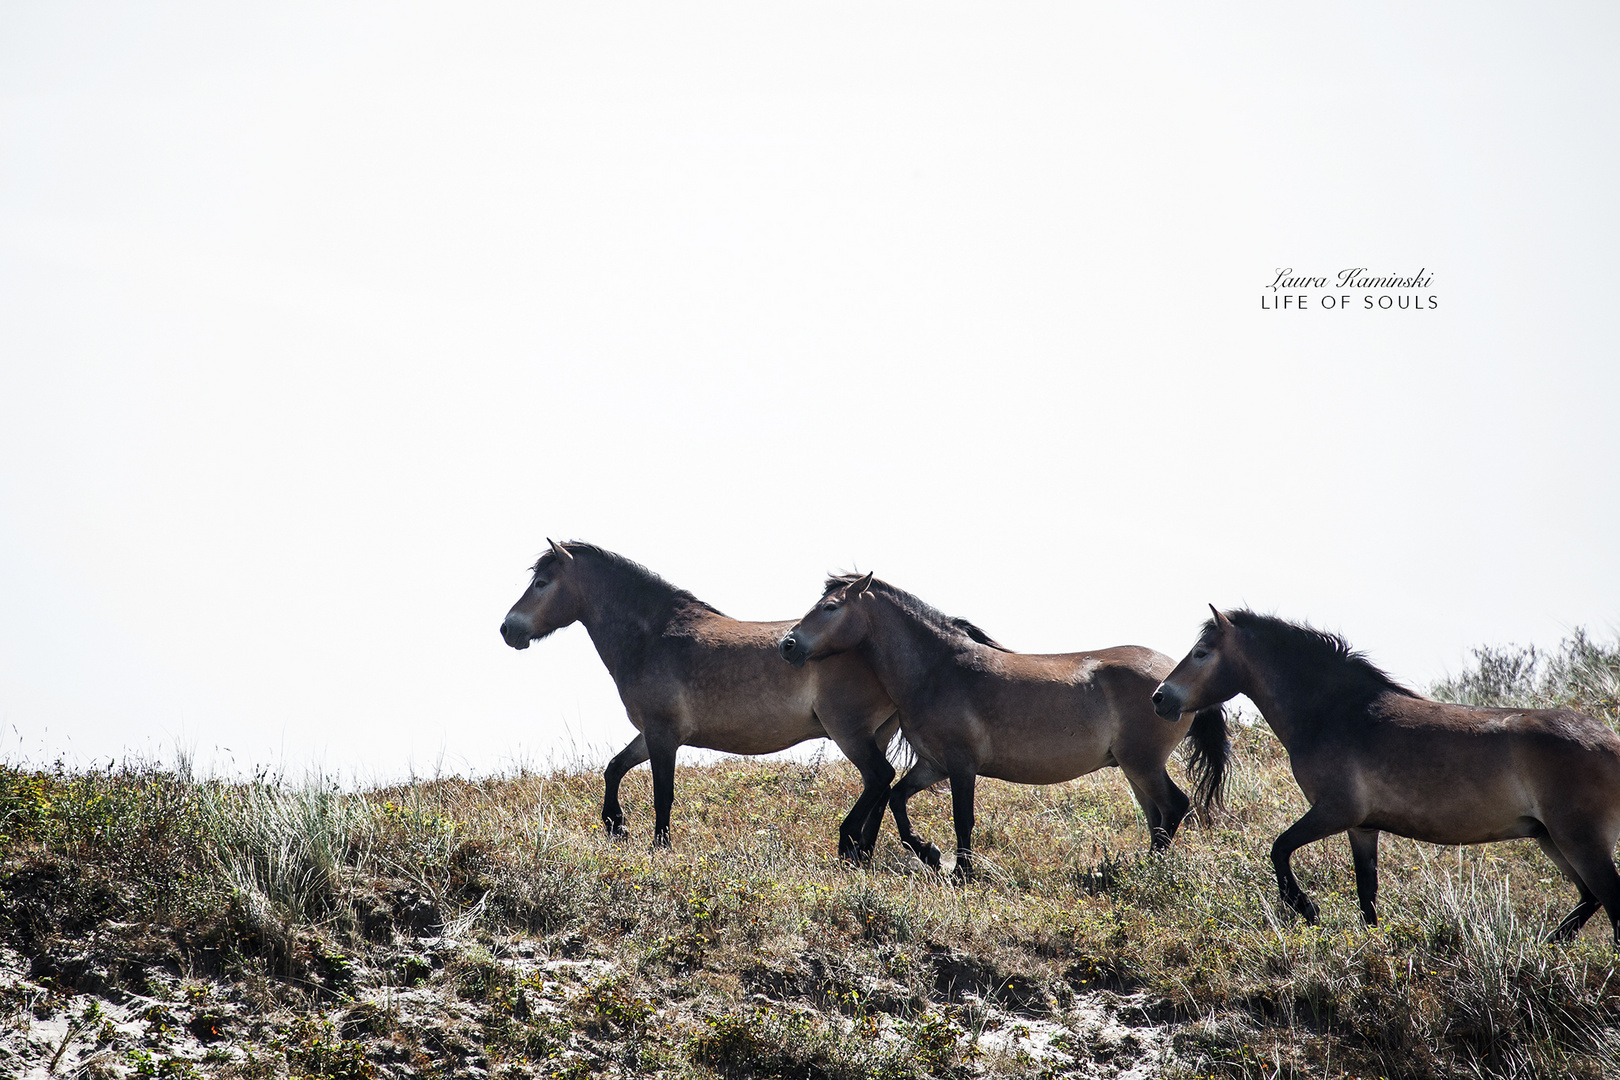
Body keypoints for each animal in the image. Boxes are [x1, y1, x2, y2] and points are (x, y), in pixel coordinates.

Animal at [495, 544, 900, 854]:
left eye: (542, 583)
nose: (507, 628)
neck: (653, 637)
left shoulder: (663, 735)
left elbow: (663, 794)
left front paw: (659, 846)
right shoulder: (651, 733)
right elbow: (614, 768)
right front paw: (616, 824)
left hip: (850, 733)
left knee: (880, 777)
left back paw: (851, 844)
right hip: (878, 734)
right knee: (881, 787)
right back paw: (865, 848)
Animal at [774, 573, 1224, 880]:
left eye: (831, 607)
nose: (787, 645)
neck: (938, 670)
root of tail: (1173, 683)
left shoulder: (961, 765)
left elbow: (962, 818)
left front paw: (961, 872)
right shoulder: (933, 764)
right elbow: (899, 799)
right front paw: (928, 852)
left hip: (1142, 763)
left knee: (1174, 806)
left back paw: (1149, 874)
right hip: (1134, 768)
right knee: (1157, 816)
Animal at [1153, 608, 1620, 945]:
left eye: (1201, 652)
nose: (1160, 697)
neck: (1338, 713)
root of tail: (1609, 742)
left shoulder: (1334, 812)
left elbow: (1279, 849)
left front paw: (1307, 909)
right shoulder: (1362, 827)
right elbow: (1367, 891)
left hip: (1578, 840)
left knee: (1609, 900)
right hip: (1550, 838)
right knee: (1589, 898)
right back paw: (1548, 946)